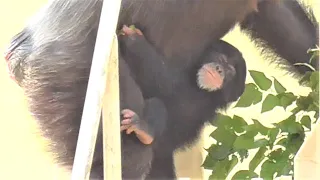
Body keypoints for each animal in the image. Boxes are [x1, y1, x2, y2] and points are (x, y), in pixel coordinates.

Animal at [3, 0, 318, 179]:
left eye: (229, 70)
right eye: (222, 62)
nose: (219, 71)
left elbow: (282, 19)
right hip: (69, 80)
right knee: (128, 157)